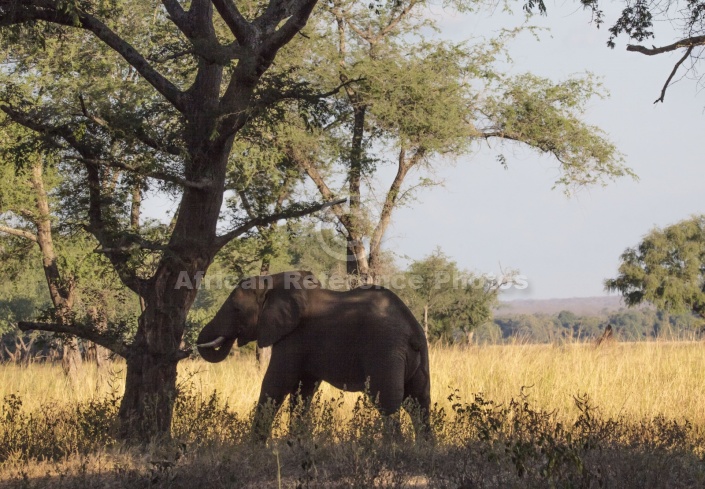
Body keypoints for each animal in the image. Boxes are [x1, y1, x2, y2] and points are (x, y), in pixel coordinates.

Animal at [195, 268, 432, 440]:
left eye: (236, 309)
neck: (272, 281)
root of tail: (412, 329)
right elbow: (303, 391)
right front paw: (295, 445)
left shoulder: (293, 336)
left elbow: (276, 384)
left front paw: (254, 449)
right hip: (417, 357)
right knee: (420, 403)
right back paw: (423, 449)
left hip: (385, 350)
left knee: (389, 402)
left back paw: (392, 449)